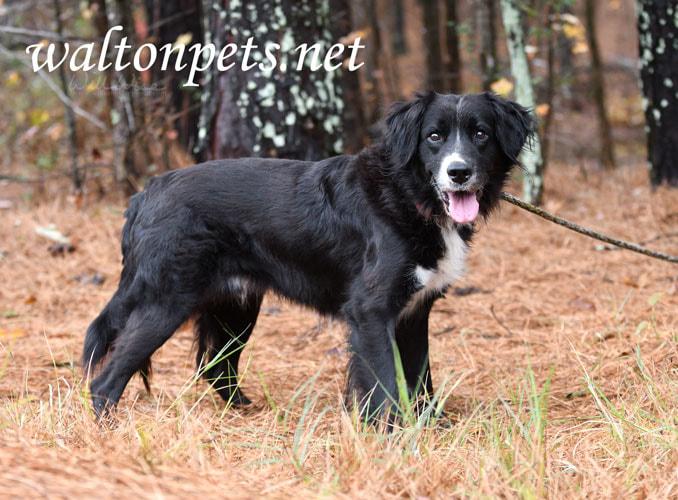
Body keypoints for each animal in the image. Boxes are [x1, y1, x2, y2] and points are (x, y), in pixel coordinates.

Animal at [82, 92, 532, 420]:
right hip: (166, 302)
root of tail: (145, 193)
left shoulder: (414, 312)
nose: (458, 173)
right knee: (105, 379)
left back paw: (246, 412)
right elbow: (386, 382)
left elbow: (420, 379)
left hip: (236, 306)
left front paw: (429, 426)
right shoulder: (370, 311)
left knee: (214, 368)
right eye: (433, 137)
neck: (409, 196)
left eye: (481, 134)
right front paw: (391, 437)